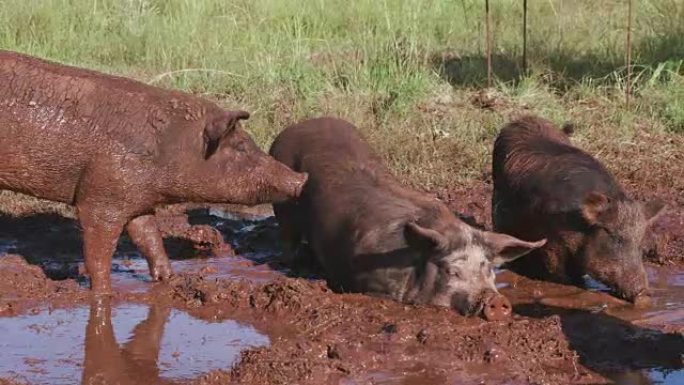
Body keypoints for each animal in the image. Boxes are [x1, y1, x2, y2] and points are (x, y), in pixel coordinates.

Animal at [0, 50, 308, 292]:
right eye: (242, 146)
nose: (301, 178)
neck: (171, 146)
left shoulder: (138, 199)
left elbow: (148, 237)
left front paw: (167, 280)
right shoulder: (101, 195)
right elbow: (98, 252)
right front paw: (105, 294)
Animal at [488, 115, 664, 304]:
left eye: (640, 244)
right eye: (614, 238)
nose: (644, 294)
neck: (577, 225)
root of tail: (522, 119)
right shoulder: (552, 239)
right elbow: (557, 268)